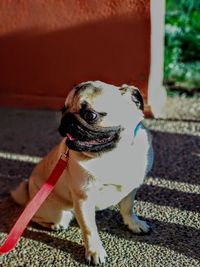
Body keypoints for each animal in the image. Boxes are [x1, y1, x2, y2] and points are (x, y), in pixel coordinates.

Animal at [11, 81, 153, 266]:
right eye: (63, 110)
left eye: (90, 115)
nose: (66, 119)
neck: (111, 156)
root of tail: (29, 190)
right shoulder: (84, 199)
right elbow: (89, 229)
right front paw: (95, 252)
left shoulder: (130, 189)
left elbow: (128, 208)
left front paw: (134, 224)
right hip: (57, 213)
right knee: (34, 215)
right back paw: (54, 225)